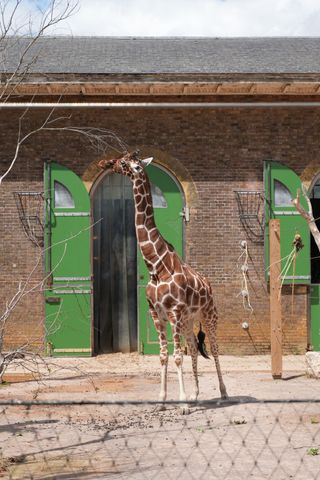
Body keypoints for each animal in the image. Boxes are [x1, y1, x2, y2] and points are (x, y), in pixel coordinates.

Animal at [98, 152, 228, 406]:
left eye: (131, 164)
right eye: (121, 159)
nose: (107, 163)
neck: (156, 266)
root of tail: (209, 285)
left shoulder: (174, 312)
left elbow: (177, 356)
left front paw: (182, 403)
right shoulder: (156, 314)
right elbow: (163, 356)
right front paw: (163, 399)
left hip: (209, 315)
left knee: (215, 348)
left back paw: (223, 393)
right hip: (189, 321)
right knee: (194, 348)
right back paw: (196, 394)